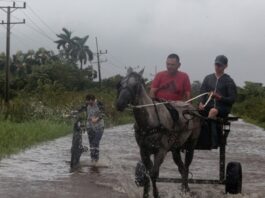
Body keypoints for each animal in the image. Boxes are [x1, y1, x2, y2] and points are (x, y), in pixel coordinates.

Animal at [115, 69, 200, 197]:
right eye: (120, 84)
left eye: (136, 85)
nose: (119, 104)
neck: (150, 121)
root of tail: (191, 107)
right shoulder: (144, 151)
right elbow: (146, 174)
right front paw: (145, 194)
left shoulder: (161, 151)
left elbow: (154, 174)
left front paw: (156, 194)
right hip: (175, 148)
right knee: (182, 169)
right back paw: (183, 189)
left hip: (191, 144)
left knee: (186, 166)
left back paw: (185, 190)